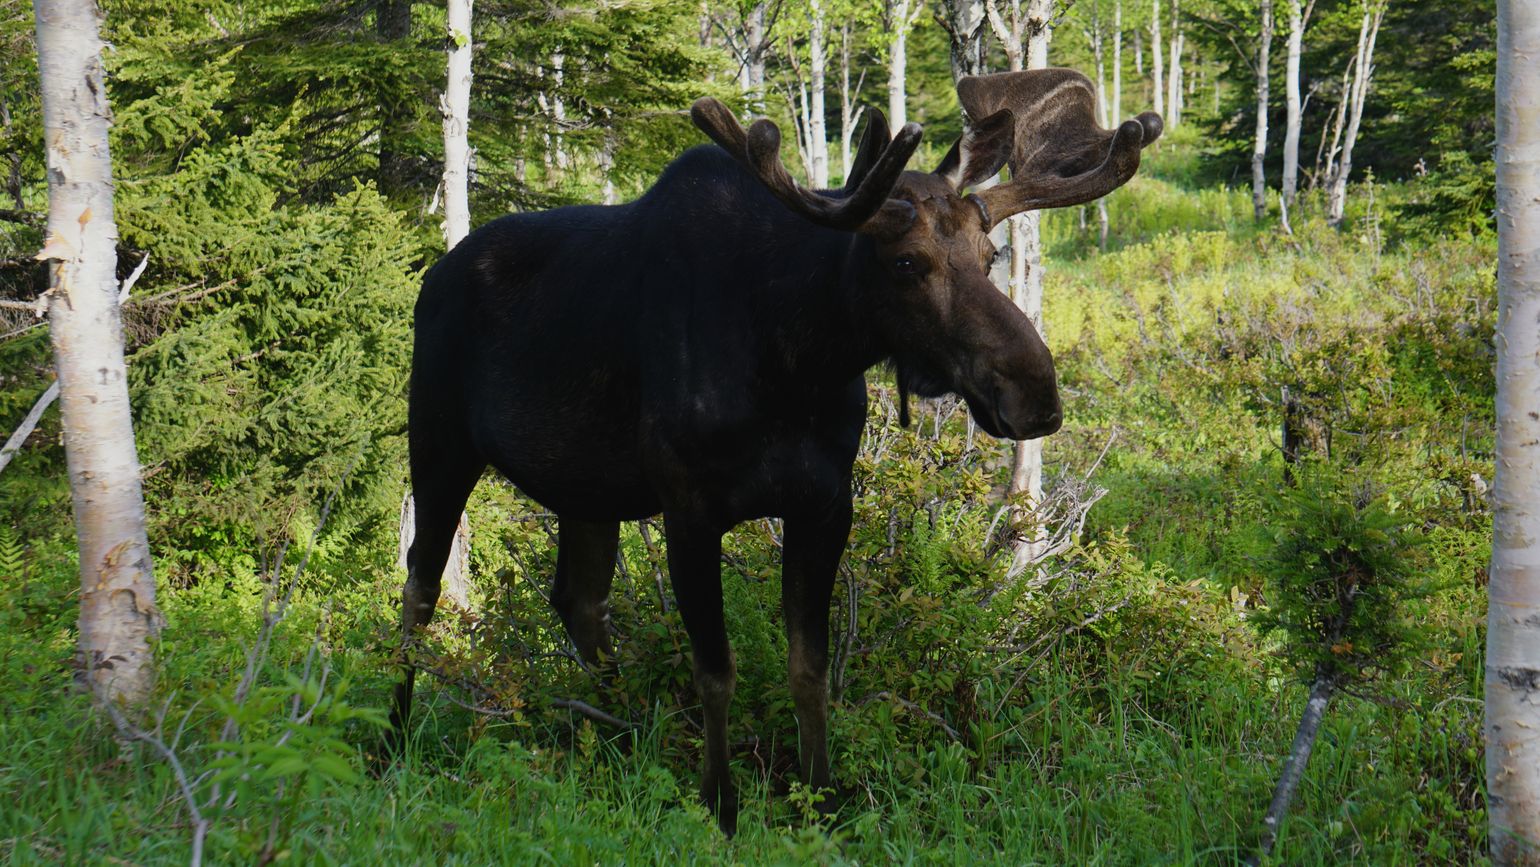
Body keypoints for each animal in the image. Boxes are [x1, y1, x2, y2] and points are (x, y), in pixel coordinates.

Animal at [393, 67, 1162, 834]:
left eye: (990, 254)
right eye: (906, 262)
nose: (1035, 393)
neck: (797, 355)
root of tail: (431, 277)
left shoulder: (824, 502)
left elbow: (809, 668)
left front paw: (821, 796)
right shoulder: (689, 507)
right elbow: (717, 669)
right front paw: (721, 804)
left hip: (588, 488)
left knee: (578, 602)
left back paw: (622, 732)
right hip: (438, 443)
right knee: (421, 591)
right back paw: (393, 739)